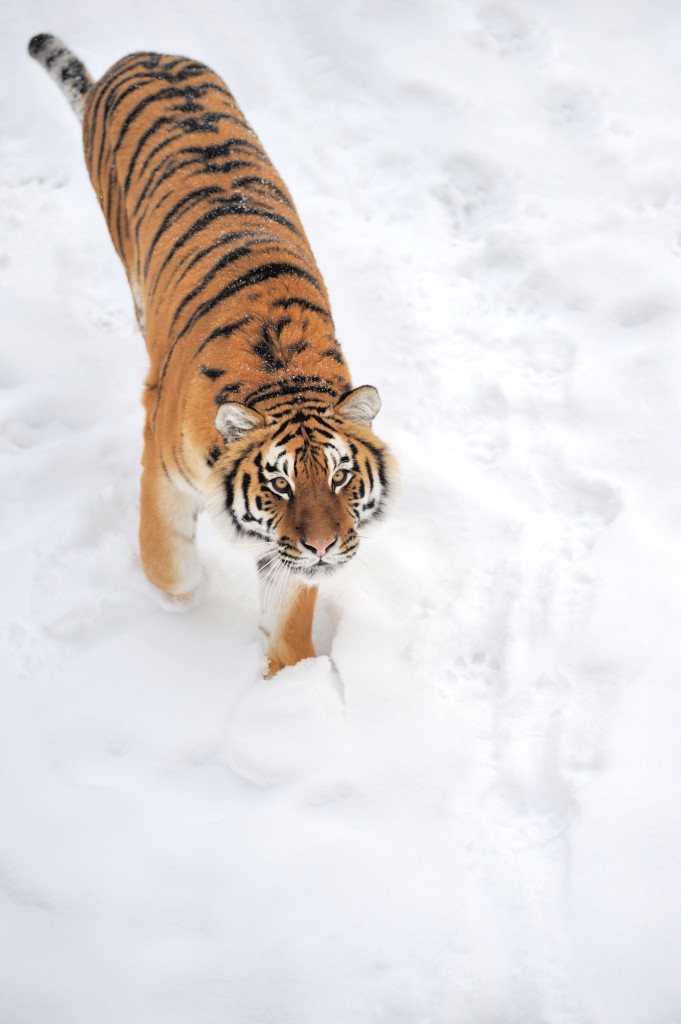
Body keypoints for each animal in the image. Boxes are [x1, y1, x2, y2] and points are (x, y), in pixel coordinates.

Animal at [29, 32, 395, 675]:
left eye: (341, 476)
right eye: (280, 486)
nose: (324, 546)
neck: (285, 378)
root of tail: (144, 55)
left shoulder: (288, 557)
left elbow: (288, 619)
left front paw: (289, 680)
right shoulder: (161, 464)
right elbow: (165, 557)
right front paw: (182, 603)